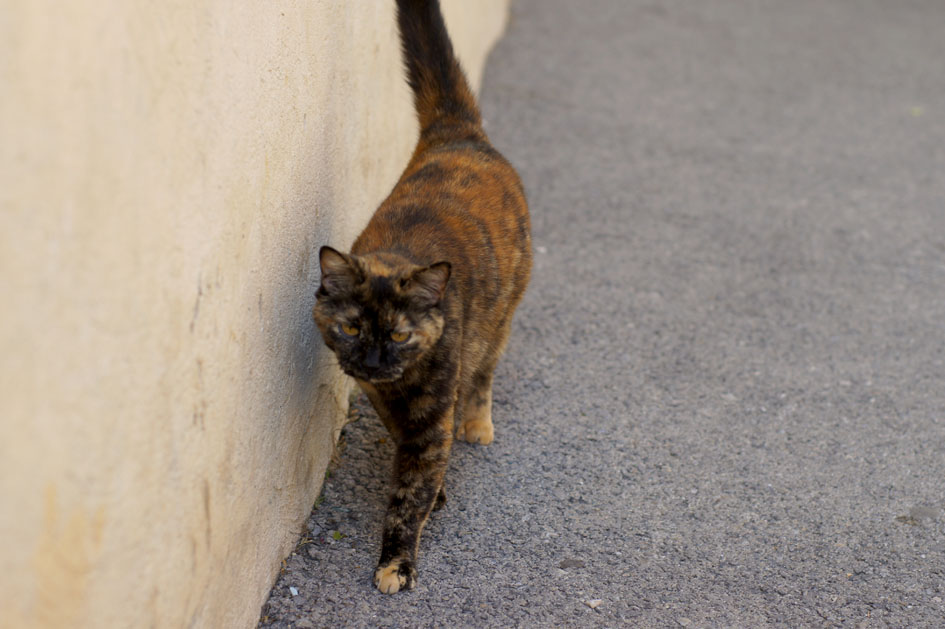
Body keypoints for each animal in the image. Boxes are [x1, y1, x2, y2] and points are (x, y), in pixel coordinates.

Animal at [312, 0, 528, 592]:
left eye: (400, 334)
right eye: (352, 327)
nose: (372, 359)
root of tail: (458, 135)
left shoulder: (431, 417)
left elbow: (410, 493)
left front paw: (396, 562)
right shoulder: (380, 398)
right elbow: (408, 454)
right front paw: (437, 493)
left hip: (501, 317)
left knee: (484, 373)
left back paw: (476, 425)